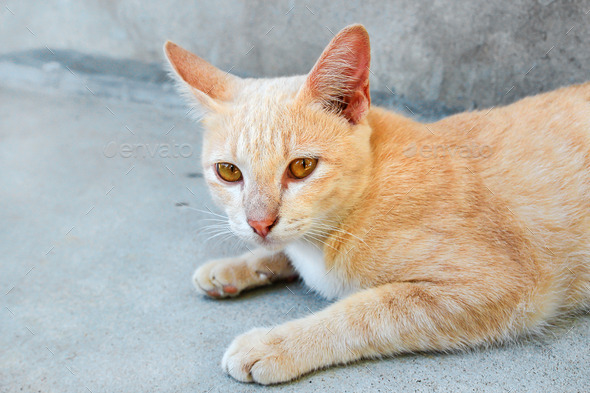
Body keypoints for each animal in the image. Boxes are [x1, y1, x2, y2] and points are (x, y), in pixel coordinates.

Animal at [163, 23, 590, 382]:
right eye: (228, 172)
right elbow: (280, 253)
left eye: (301, 167)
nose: (259, 223)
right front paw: (233, 267)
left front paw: (275, 342)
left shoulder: (502, 285)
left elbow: (364, 312)